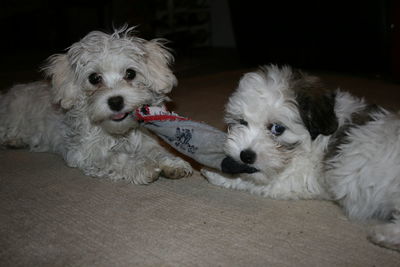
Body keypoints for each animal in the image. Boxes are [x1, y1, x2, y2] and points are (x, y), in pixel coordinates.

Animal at [0, 27, 194, 185]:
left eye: (130, 73)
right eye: (94, 78)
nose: (115, 101)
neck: (119, 133)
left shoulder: (145, 139)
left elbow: (157, 150)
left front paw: (172, 163)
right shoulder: (86, 152)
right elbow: (117, 158)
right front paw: (143, 166)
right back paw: (13, 140)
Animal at [203, 66, 400, 252]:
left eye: (277, 128)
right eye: (242, 122)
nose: (246, 155)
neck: (314, 139)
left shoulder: (298, 177)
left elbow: (254, 180)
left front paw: (217, 175)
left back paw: (382, 234)